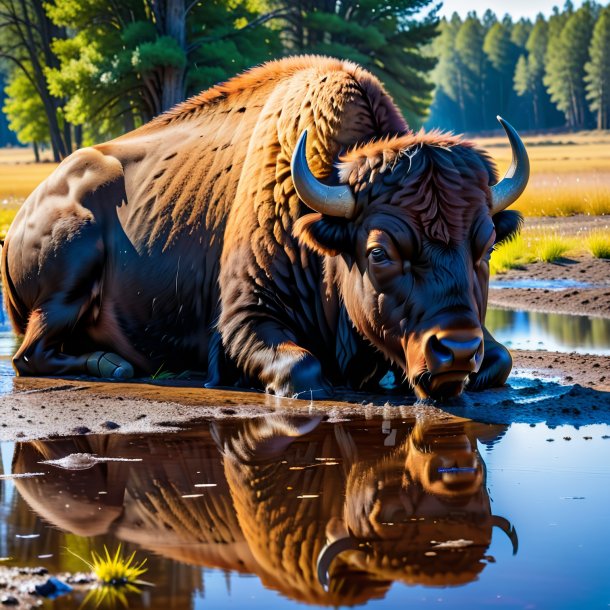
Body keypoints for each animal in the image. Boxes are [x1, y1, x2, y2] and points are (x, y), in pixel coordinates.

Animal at [0, 55, 524, 400]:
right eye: (379, 253)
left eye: (486, 246)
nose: (456, 350)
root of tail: (27, 211)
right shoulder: (242, 319)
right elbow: (303, 370)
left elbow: (500, 362)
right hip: (71, 268)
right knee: (28, 354)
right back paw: (114, 365)